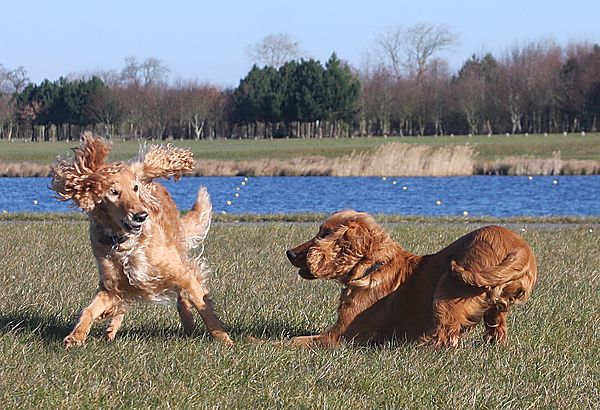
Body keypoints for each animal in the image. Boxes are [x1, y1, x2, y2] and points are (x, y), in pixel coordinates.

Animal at [50, 133, 233, 348]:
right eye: (113, 192)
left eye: (135, 188)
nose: (141, 215)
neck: (125, 243)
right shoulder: (111, 286)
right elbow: (89, 310)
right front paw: (76, 336)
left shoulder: (182, 274)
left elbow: (204, 307)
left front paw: (226, 341)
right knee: (120, 309)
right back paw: (110, 331)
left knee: (182, 298)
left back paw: (188, 325)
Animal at [288, 210, 540, 348]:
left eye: (324, 234)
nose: (289, 253)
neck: (374, 267)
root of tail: (520, 247)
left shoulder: (342, 335)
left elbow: (298, 340)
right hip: (495, 308)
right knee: (497, 332)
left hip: (446, 289)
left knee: (448, 339)